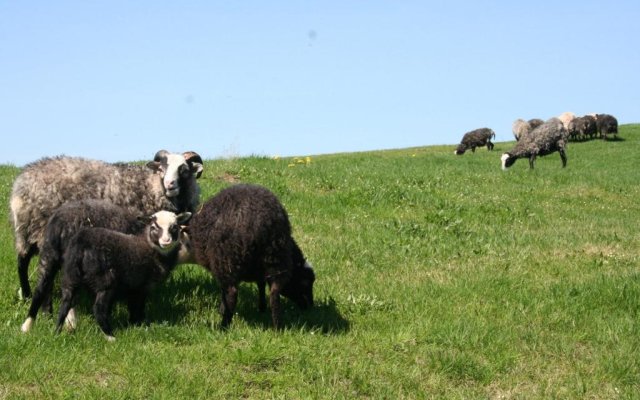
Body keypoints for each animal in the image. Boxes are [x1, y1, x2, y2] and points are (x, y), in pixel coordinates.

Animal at [9, 150, 202, 300]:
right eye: (162, 168)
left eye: (184, 170)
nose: (170, 185)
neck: (152, 187)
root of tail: (20, 183)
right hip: (38, 229)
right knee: (25, 263)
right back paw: (28, 295)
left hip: (27, 231)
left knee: (22, 259)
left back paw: (26, 295)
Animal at [20, 209, 192, 340]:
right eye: (155, 227)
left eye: (174, 227)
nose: (166, 241)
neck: (150, 247)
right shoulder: (140, 287)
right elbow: (137, 307)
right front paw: (140, 324)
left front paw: (133, 324)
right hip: (106, 281)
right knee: (98, 308)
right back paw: (110, 336)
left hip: (64, 270)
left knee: (53, 297)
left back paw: (48, 330)